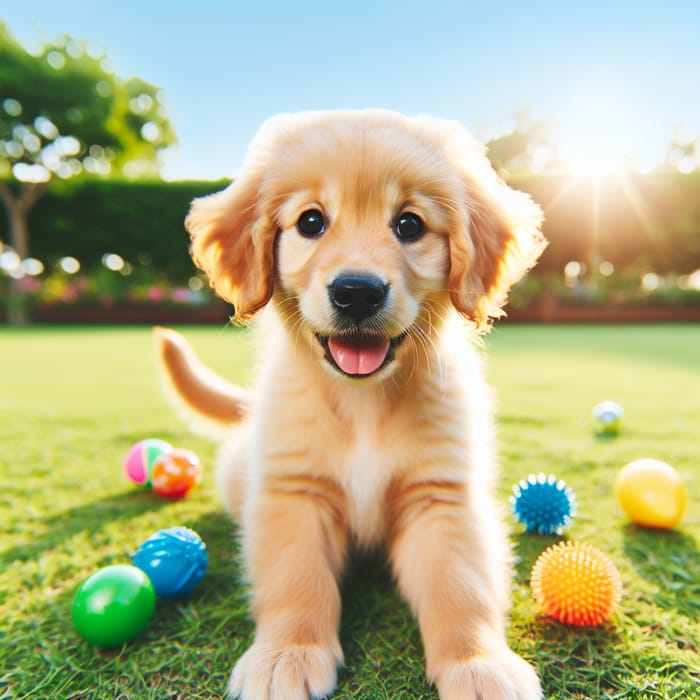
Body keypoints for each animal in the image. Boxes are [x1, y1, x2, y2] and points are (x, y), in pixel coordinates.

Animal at [157, 110, 548, 700]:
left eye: (409, 225)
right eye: (311, 222)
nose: (357, 292)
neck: (363, 403)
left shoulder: (440, 496)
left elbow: (460, 584)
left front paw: (479, 664)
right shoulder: (294, 492)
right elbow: (297, 578)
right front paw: (287, 654)